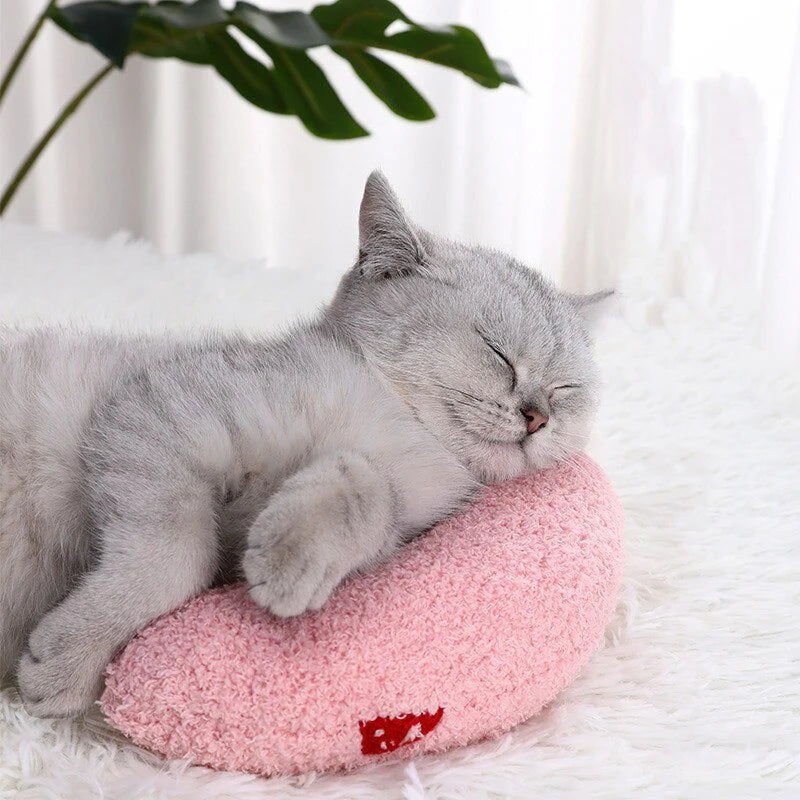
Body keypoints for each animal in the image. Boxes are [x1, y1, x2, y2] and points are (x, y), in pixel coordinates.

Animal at [1, 170, 612, 720]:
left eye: (566, 388)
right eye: (497, 352)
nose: (538, 416)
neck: (400, 429)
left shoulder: (397, 517)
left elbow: (364, 489)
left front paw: (293, 557)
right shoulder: (155, 414)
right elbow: (175, 558)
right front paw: (69, 662)